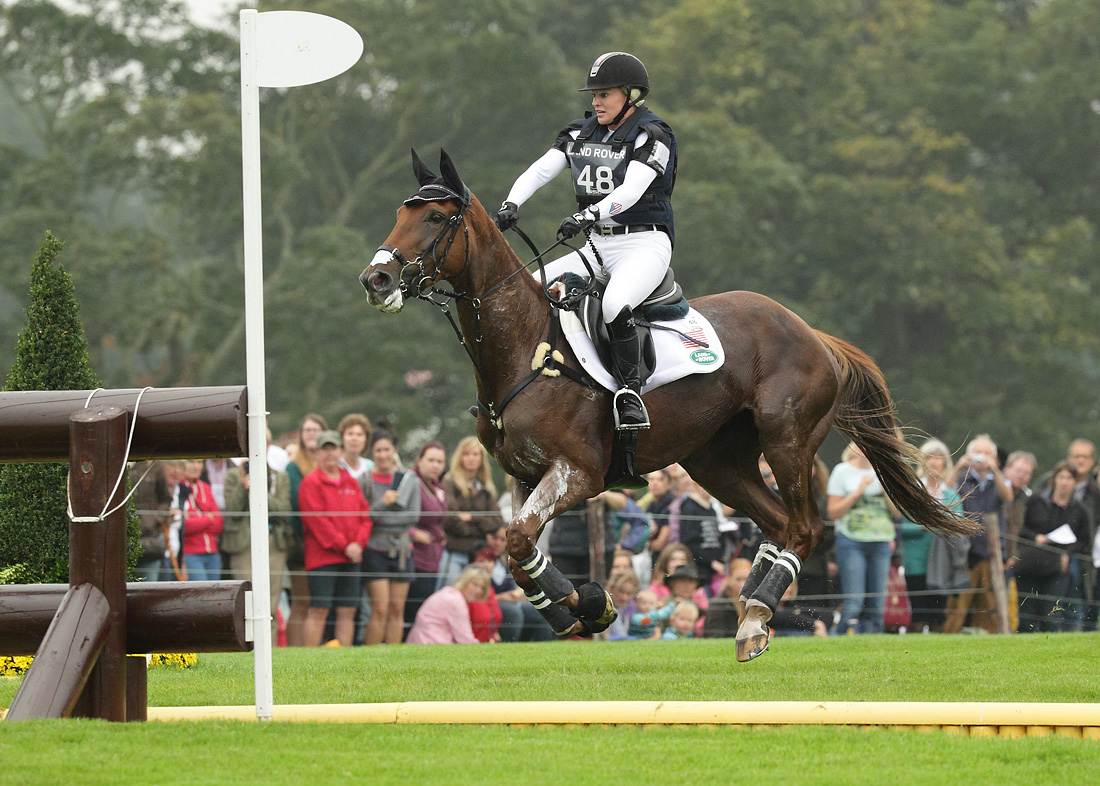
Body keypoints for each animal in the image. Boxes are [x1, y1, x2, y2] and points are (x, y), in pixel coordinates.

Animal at [363, 150, 972, 659]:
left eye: (436, 218)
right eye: (399, 213)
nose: (377, 279)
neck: (525, 351)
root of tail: (814, 334)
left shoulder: (575, 473)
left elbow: (517, 542)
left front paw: (587, 604)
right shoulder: (523, 475)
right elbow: (517, 551)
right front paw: (583, 609)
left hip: (788, 441)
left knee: (804, 527)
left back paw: (755, 615)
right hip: (716, 463)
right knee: (778, 522)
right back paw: (750, 609)